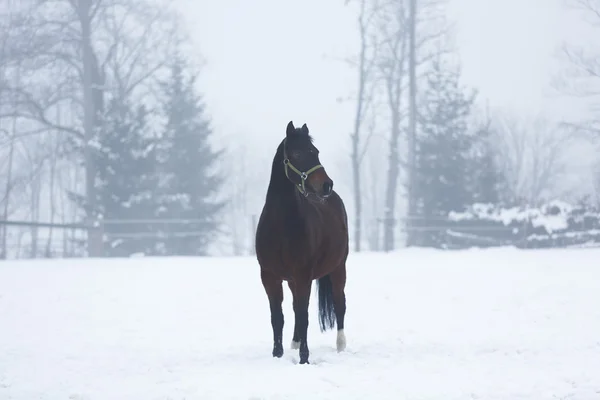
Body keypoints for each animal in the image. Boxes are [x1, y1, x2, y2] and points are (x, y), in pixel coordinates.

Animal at [254, 120, 350, 364]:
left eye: (315, 152)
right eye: (297, 153)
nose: (326, 185)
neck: (281, 225)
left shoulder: (303, 274)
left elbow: (304, 315)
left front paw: (304, 358)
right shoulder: (269, 276)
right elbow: (278, 316)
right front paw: (277, 354)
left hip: (339, 268)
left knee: (339, 304)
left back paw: (340, 345)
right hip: (292, 280)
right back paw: (295, 343)